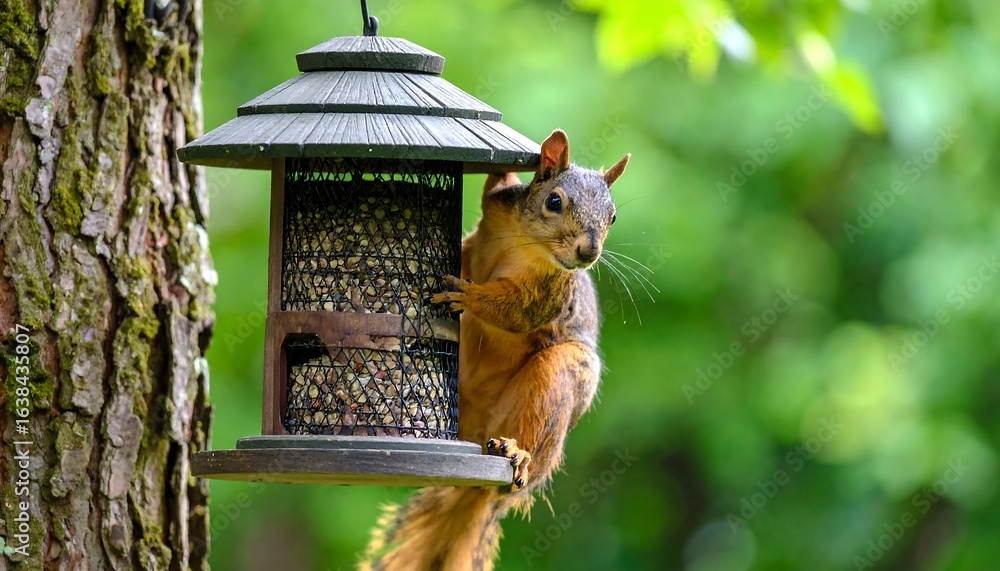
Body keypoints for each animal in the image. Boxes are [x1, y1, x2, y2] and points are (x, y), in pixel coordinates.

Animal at [361, 129, 630, 571]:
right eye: (553, 201)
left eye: (612, 217)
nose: (588, 253)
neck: (527, 243)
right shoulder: (497, 208)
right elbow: (496, 188)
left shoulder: (549, 294)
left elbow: (514, 311)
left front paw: (469, 295)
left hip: (554, 386)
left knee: (527, 453)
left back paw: (516, 453)